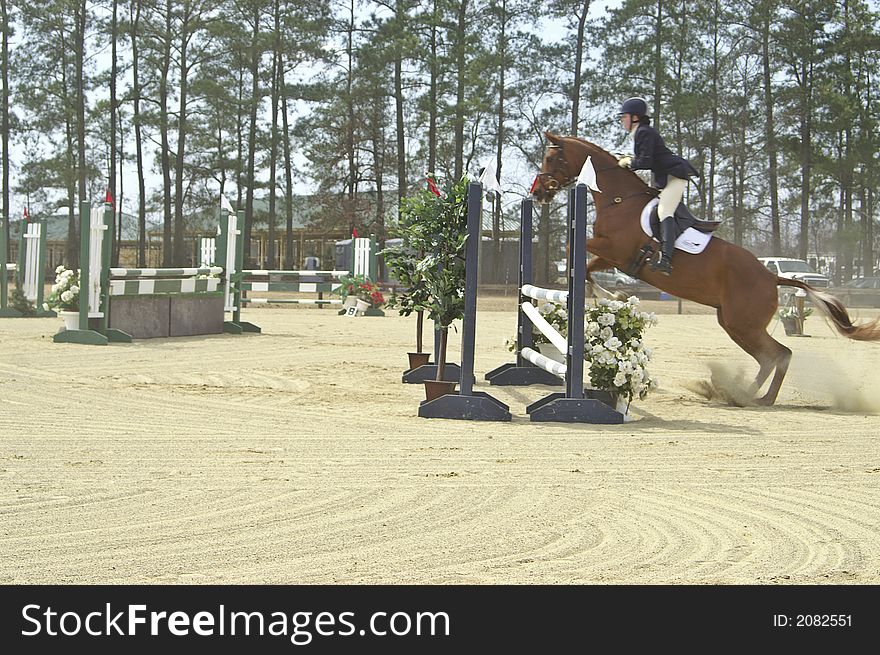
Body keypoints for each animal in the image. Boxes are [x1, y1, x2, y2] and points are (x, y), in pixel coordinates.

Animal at [528, 133, 880, 404]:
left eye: (551, 159)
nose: (537, 193)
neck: (619, 198)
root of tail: (771, 276)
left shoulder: (614, 249)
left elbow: (575, 251)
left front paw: (610, 294)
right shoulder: (613, 256)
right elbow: (586, 265)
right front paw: (611, 294)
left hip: (743, 324)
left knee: (780, 354)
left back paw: (748, 396)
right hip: (733, 323)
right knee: (770, 357)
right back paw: (742, 394)